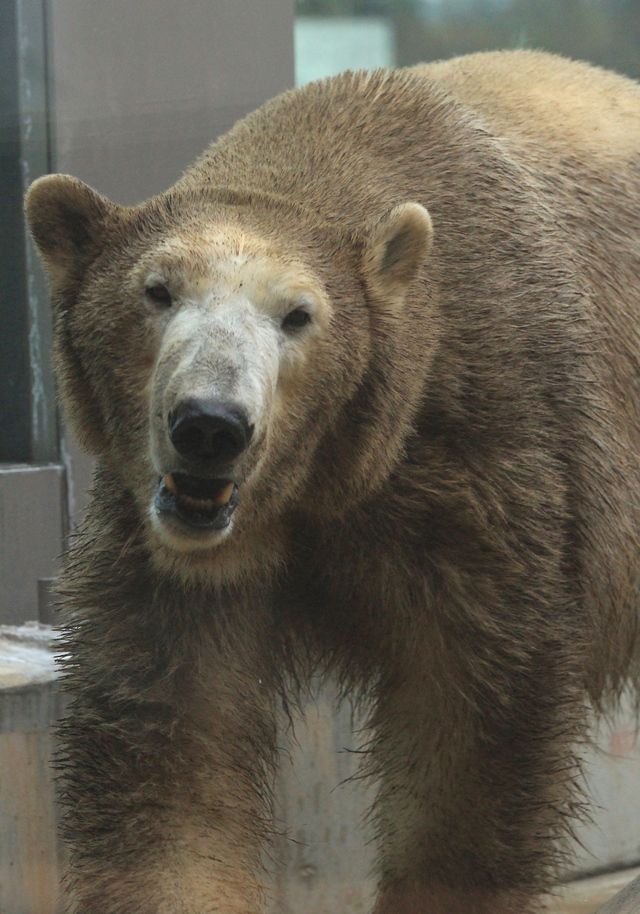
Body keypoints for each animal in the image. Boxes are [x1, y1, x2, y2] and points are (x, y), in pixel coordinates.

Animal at [25, 50, 640, 912]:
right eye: (157, 290)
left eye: (298, 315)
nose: (210, 424)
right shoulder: (168, 562)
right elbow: (170, 751)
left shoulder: (488, 472)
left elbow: (474, 741)